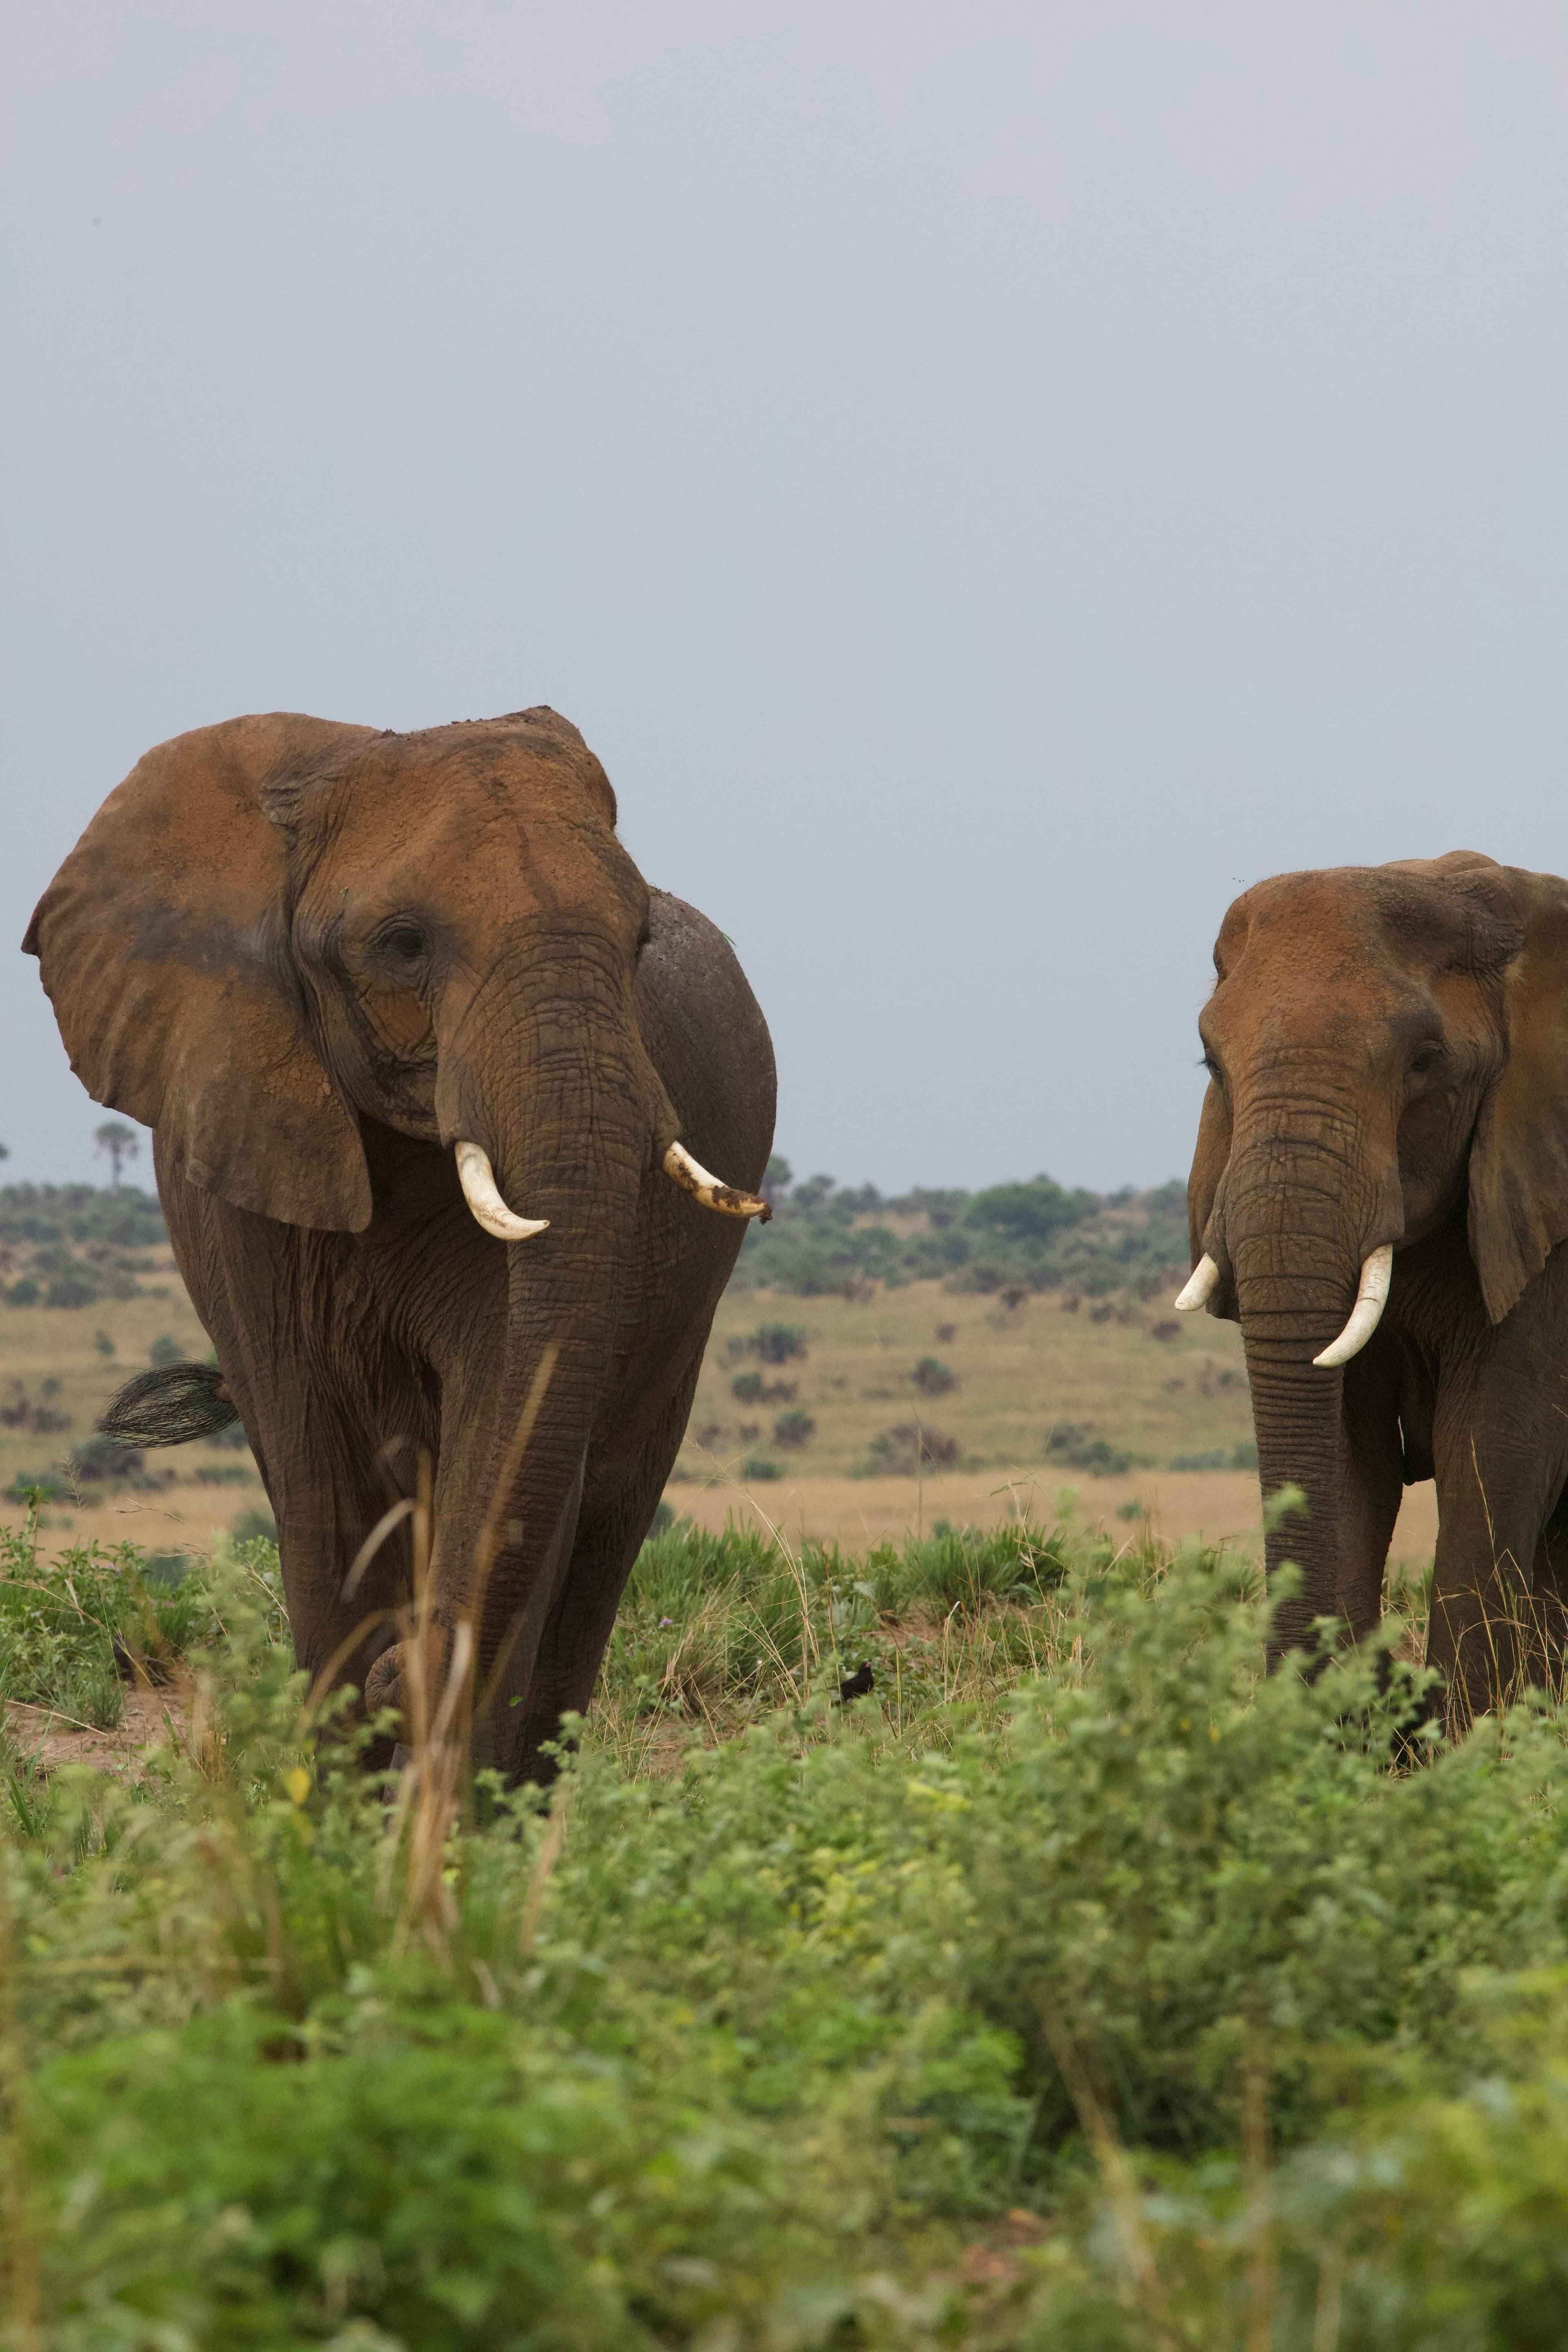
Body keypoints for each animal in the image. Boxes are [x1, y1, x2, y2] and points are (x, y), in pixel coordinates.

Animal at [25, 706, 775, 1779]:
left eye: (636, 940)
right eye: (403, 943)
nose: (398, 1673)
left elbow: (507, 1435)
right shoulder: (242, 1181)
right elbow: (319, 1473)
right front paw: (344, 1790)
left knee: (604, 1521)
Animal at [1177, 852, 1568, 1727]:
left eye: (1426, 1061)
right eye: (1210, 1062)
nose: (1384, 1695)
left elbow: (1492, 1442)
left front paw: (1468, 1744)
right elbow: (1347, 1449)